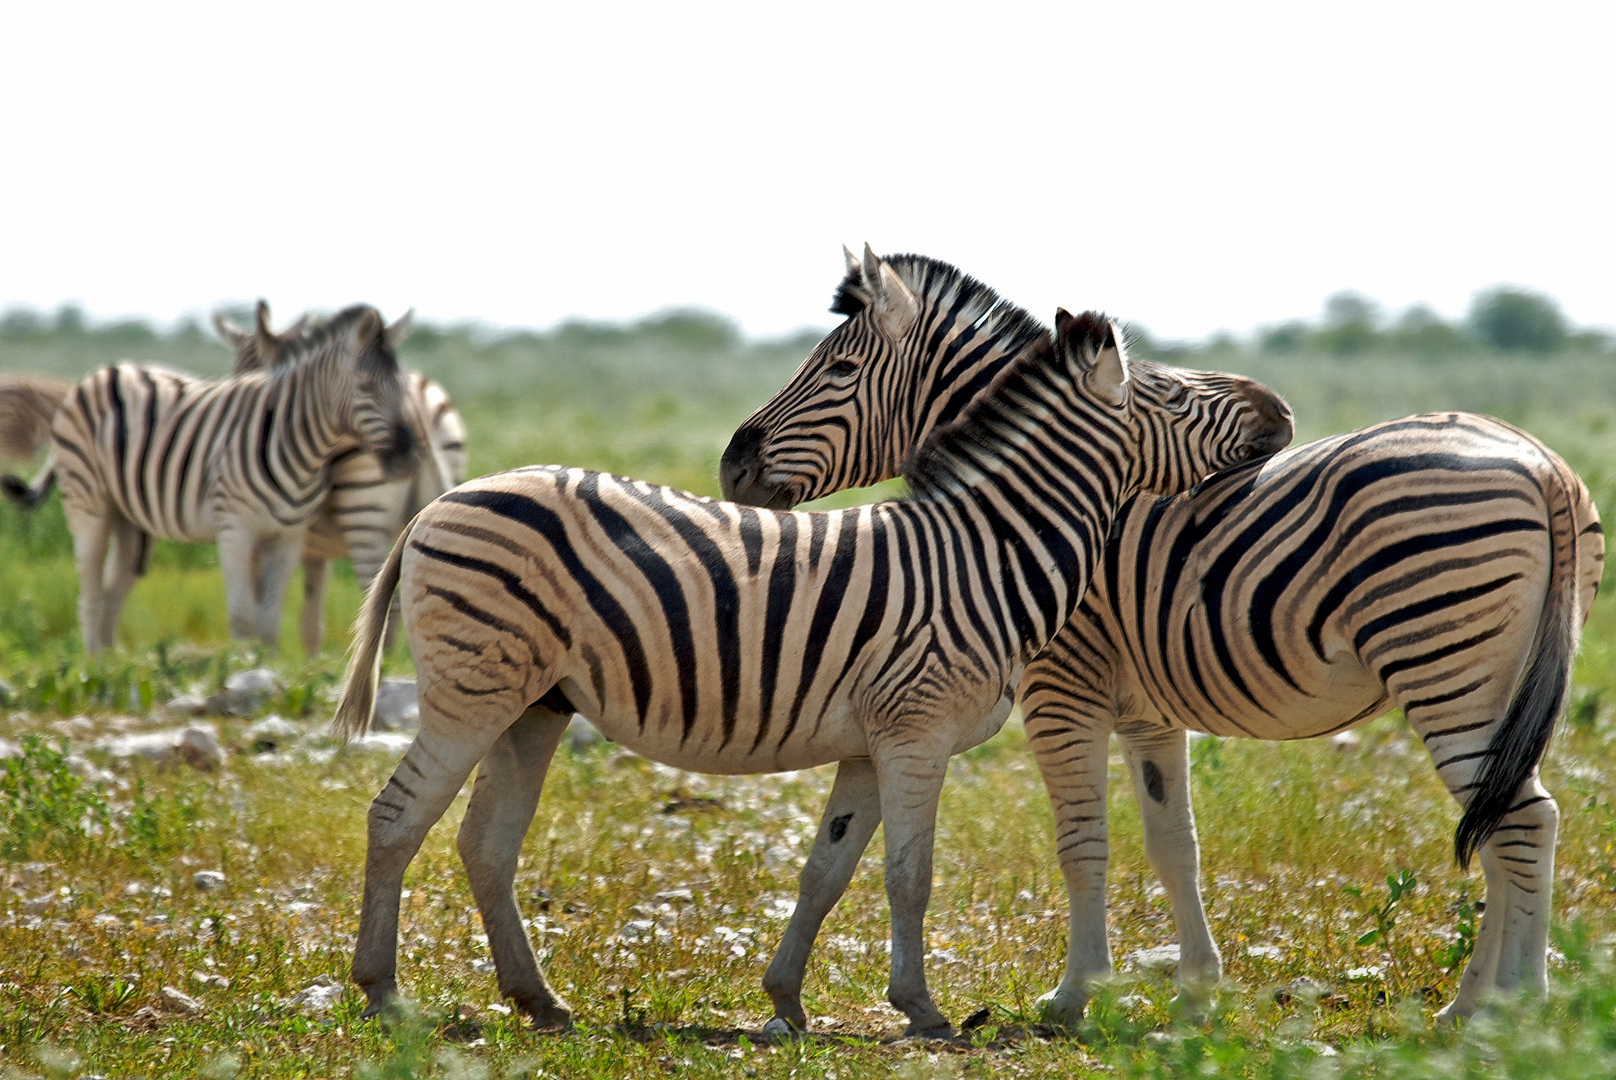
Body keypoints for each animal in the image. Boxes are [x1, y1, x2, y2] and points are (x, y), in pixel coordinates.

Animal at [1, 307, 416, 653]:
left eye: (402, 386)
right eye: (366, 385)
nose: (408, 456)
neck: (299, 445)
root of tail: (102, 372)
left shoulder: (288, 538)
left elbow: (268, 619)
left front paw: (267, 671)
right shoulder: (235, 528)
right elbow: (243, 615)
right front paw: (244, 670)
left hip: (130, 521)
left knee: (110, 593)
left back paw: (111, 664)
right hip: (88, 502)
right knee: (88, 592)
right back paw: (93, 668)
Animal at [214, 299, 468, 653]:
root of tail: (414, 402)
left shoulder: (258, 535)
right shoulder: (312, 552)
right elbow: (311, 622)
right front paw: (311, 665)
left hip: (365, 512)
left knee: (386, 611)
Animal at [334, 291, 1292, 1034]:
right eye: (1171, 393)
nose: (1280, 412)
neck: (986, 551)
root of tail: (440, 505)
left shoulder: (870, 743)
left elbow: (827, 870)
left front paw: (787, 1001)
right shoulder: (916, 731)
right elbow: (910, 876)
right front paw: (923, 1009)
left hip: (535, 704)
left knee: (485, 843)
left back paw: (538, 1000)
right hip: (474, 689)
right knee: (395, 818)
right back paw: (383, 994)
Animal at [723, 248, 1603, 1028]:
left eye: (838, 369)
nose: (732, 468)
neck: (1024, 512)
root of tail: (1542, 463)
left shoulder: (1061, 690)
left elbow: (1083, 842)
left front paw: (1075, 997)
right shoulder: (1148, 711)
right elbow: (1173, 843)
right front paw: (1196, 993)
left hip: (1445, 667)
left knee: (1519, 821)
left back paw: (1515, 1008)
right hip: (1498, 680)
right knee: (1507, 819)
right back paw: (1472, 1006)